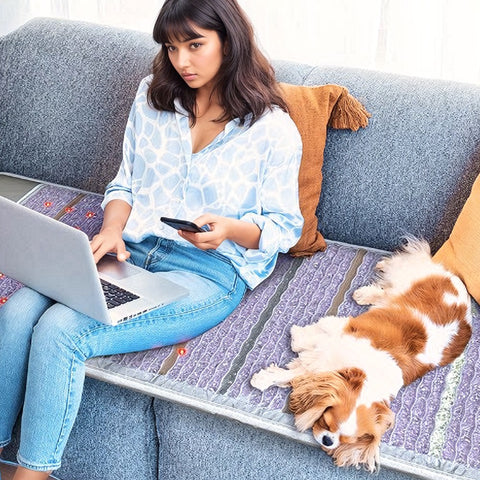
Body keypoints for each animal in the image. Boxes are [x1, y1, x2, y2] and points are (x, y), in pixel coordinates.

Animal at [251, 238, 472, 470]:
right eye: (328, 421)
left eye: (344, 440)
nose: (327, 441)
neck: (362, 369)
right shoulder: (341, 329)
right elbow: (309, 341)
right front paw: (297, 338)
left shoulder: (326, 365)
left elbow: (296, 373)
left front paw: (268, 377)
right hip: (409, 277)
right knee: (401, 265)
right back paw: (380, 271)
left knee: (387, 292)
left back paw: (366, 294)